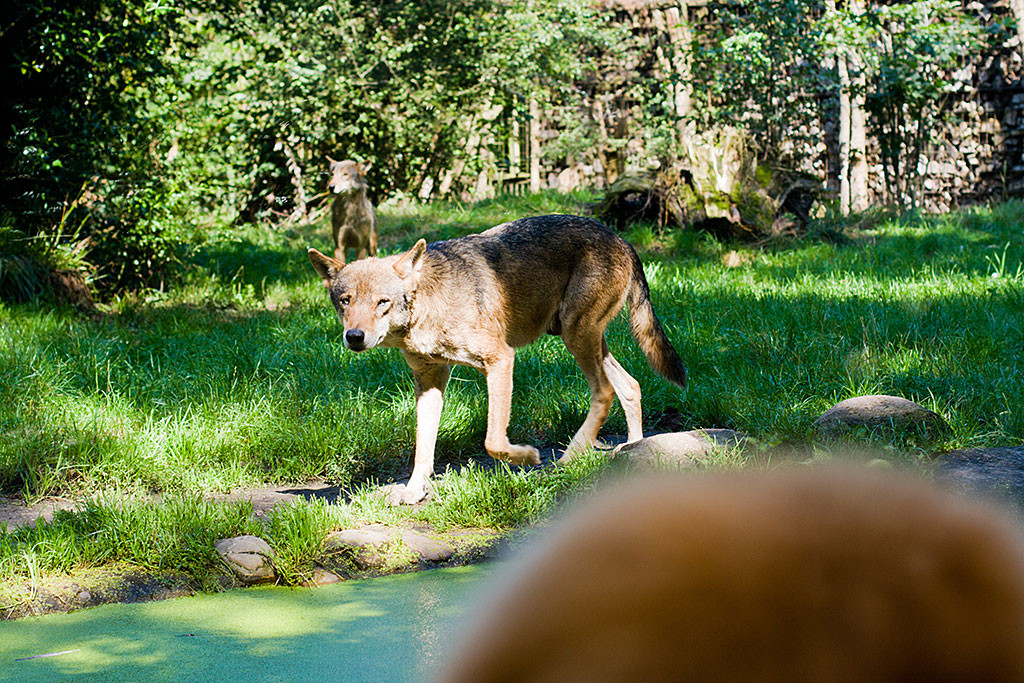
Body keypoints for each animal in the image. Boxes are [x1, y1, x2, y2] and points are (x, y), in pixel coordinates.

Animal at [308, 215, 687, 504]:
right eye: (345, 300)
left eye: (382, 302)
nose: (354, 337)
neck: (427, 308)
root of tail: (620, 237)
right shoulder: (429, 382)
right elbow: (423, 447)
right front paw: (414, 492)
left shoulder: (500, 359)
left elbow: (492, 441)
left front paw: (528, 456)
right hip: (583, 340)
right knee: (630, 385)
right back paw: (632, 449)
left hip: (578, 338)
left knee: (605, 391)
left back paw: (569, 457)